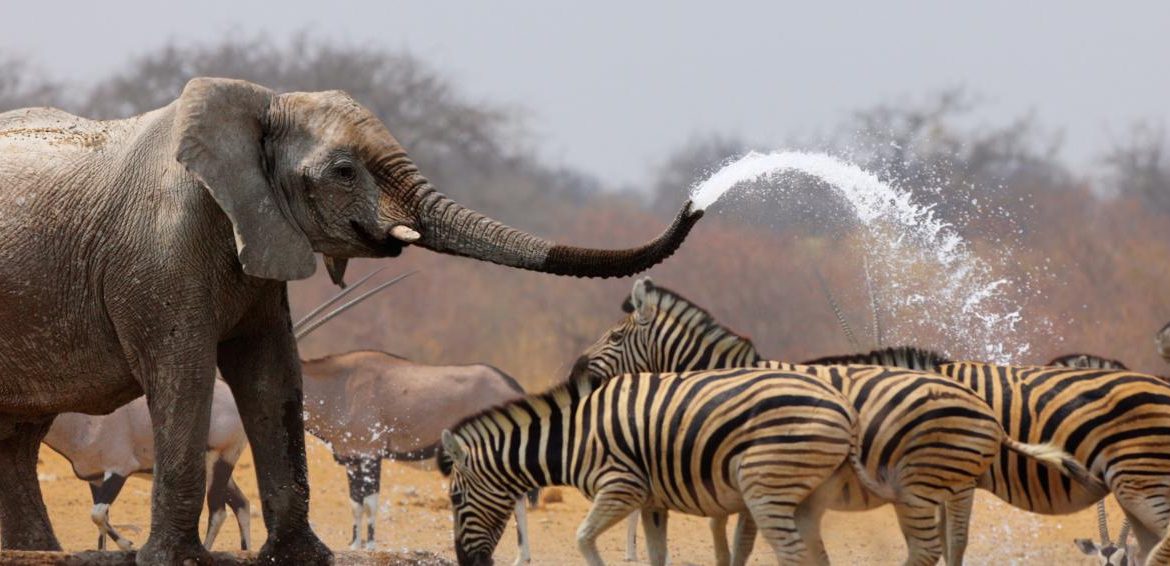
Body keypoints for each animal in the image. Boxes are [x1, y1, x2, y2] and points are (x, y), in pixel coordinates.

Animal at [0, 76, 697, 566]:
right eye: (343, 170)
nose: (695, 202)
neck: (259, 107)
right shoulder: (158, 256)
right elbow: (187, 376)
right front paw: (174, 561)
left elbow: (271, 378)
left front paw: (305, 557)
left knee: (20, 437)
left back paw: (39, 552)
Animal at [439, 367, 861, 566]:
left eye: (455, 498)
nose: (466, 562)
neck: (575, 436)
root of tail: (844, 406)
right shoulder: (652, 501)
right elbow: (656, 554)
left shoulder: (621, 487)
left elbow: (583, 539)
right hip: (800, 493)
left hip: (766, 487)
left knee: (793, 553)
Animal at [575, 279, 1095, 566]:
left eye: (616, 336)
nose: (577, 371)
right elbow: (728, 547)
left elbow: (740, 546)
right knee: (953, 543)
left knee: (946, 544)